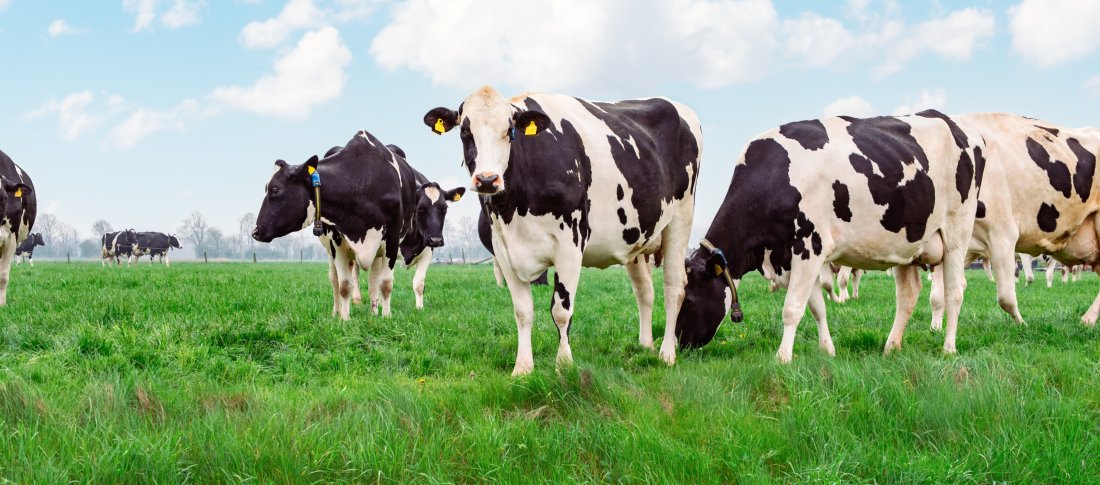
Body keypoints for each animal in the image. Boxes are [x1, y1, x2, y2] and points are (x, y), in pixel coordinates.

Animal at [253, 131, 424, 320]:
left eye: (275, 190)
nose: (255, 231)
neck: (362, 182)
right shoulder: (336, 239)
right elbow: (344, 286)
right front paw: (344, 318)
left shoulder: (392, 238)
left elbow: (385, 284)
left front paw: (386, 316)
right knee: (335, 281)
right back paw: (337, 311)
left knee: (373, 280)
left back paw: (373, 312)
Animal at [424, 86, 702, 375]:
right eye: (465, 132)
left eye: (509, 131)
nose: (488, 180)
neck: (514, 210)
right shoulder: (504, 251)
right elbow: (522, 311)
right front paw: (522, 368)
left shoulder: (570, 243)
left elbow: (561, 311)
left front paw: (564, 365)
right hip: (635, 238)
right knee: (644, 291)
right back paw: (645, 346)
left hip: (681, 220)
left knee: (674, 287)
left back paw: (666, 353)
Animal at [675, 110, 984, 362]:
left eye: (688, 300)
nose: (680, 343)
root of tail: (957, 125)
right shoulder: (795, 256)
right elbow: (816, 307)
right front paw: (828, 350)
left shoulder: (808, 246)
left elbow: (792, 308)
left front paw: (782, 357)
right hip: (908, 245)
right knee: (907, 296)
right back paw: (891, 347)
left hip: (956, 234)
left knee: (954, 292)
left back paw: (948, 348)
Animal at [927, 113, 1100, 329]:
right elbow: (937, 295)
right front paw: (935, 328)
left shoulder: (1003, 236)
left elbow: (1006, 296)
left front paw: (1022, 324)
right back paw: (1088, 319)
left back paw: (1087, 318)